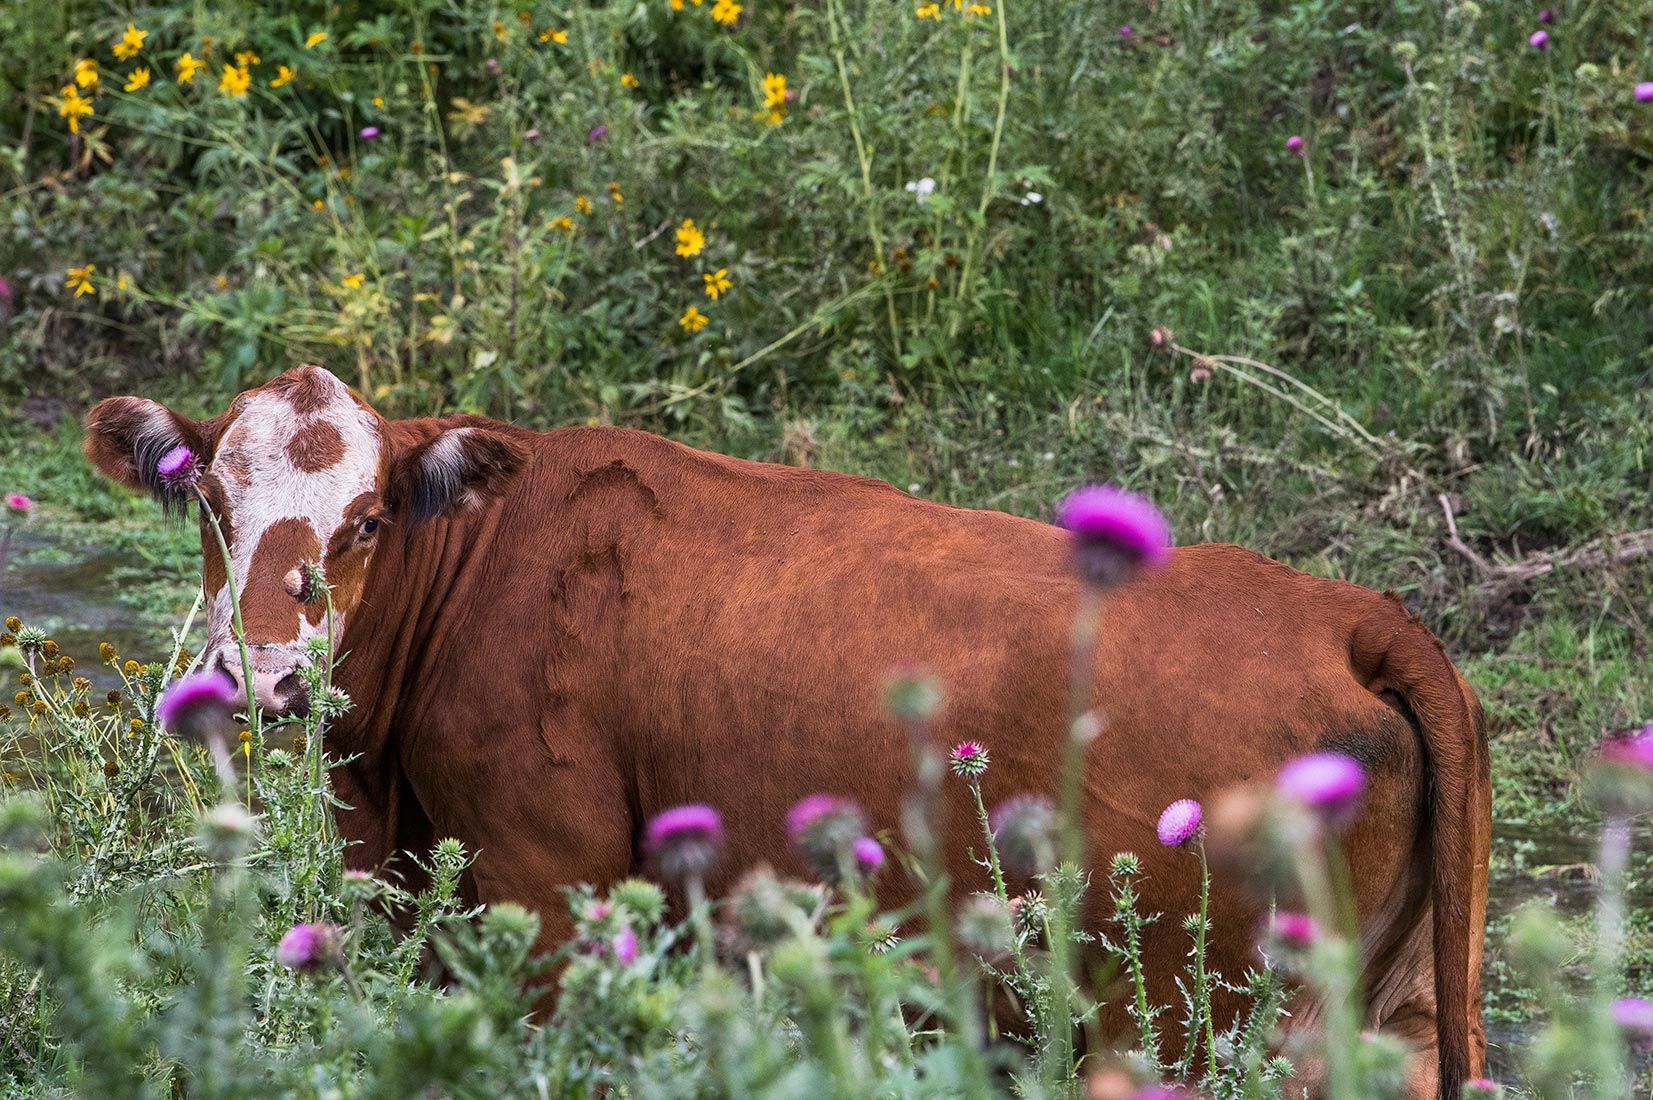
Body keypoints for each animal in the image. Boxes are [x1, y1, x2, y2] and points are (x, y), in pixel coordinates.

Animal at [84, 365, 1489, 1097]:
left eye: (369, 518)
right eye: (209, 499)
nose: (261, 672)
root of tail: (1349, 611)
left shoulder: (548, 884)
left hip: (1198, 1020)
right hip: (1389, 1002)